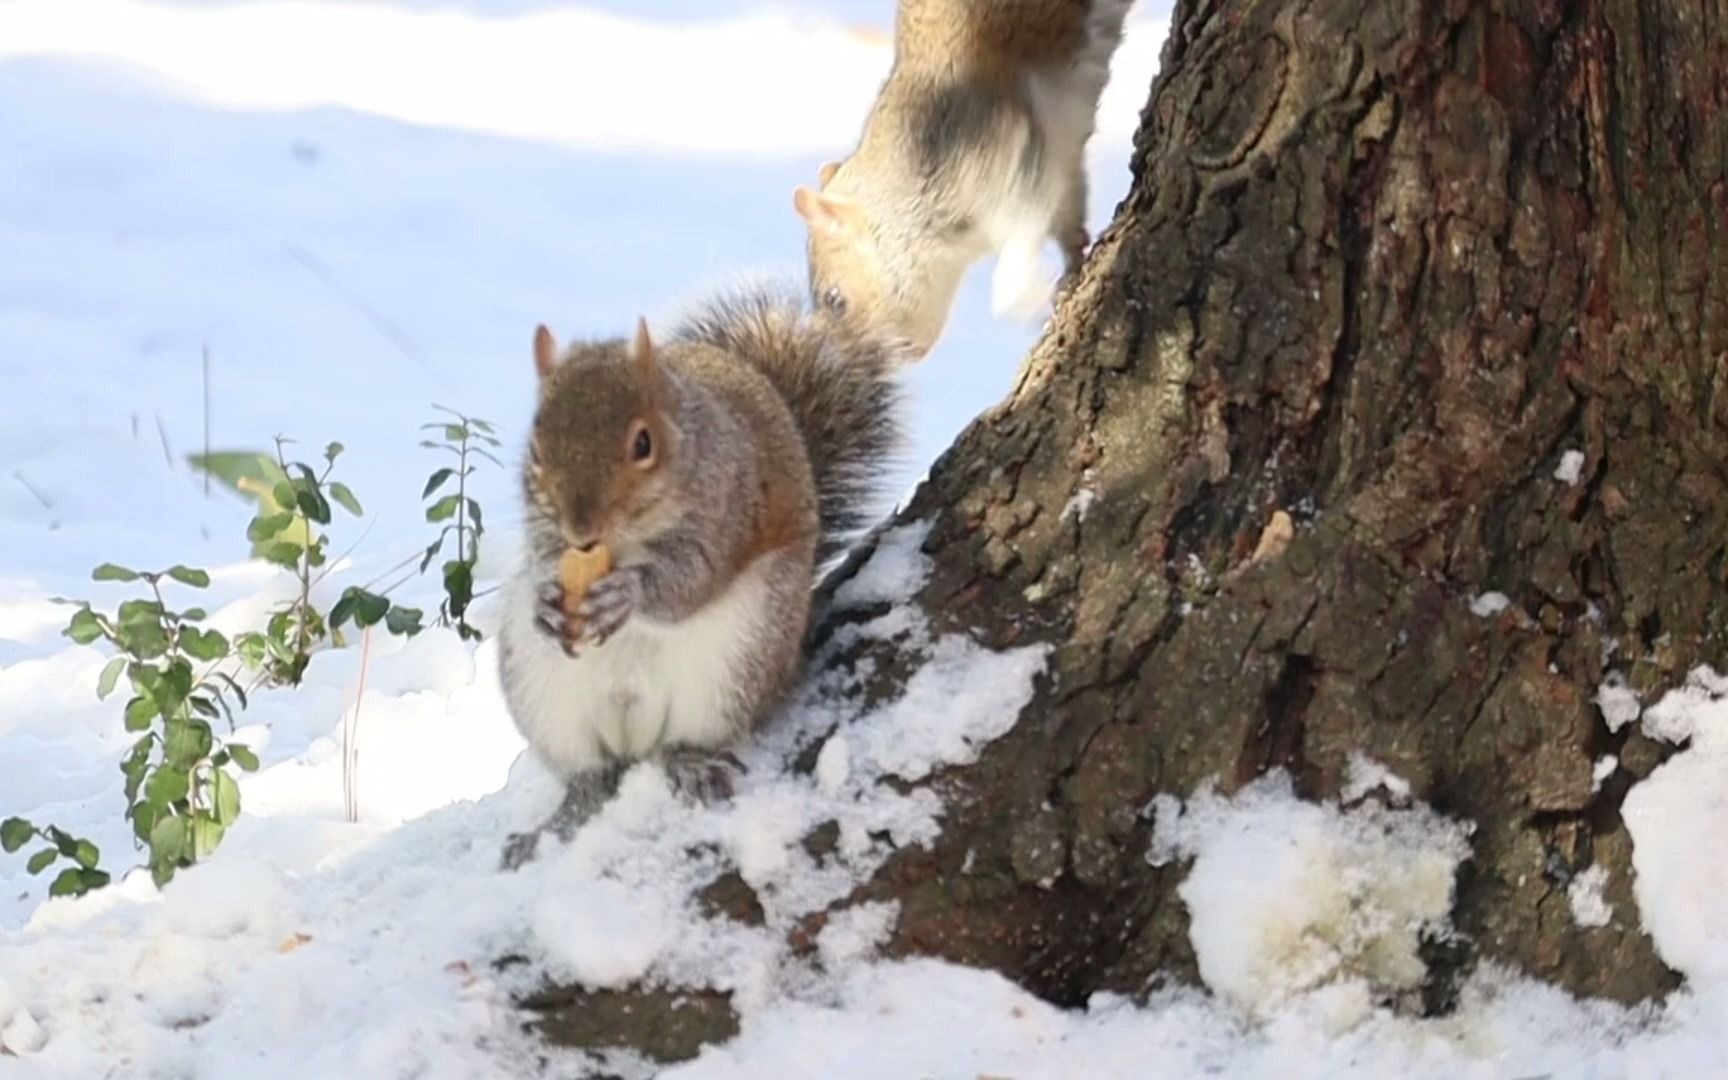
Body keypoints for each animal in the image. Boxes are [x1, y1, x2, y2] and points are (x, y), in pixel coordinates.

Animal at [497, 290, 905, 864]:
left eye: (643, 444)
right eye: (535, 448)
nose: (581, 531)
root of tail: (636, 736)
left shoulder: (728, 508)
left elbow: (691, 579)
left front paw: (627, 594)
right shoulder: (545, 533)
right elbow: (541, 558)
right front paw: (547, 600)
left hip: (739, 656)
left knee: (688, 738)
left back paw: (690, 764)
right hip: (541, 688)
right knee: (590, 777)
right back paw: (555, 824)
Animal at [791, 0, 1133, 357]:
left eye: (835, 301)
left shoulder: (1009, 147)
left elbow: (1020, 247)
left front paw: (1029, 302)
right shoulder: (1063, 158)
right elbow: (1068, 212)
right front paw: (1071, 264)